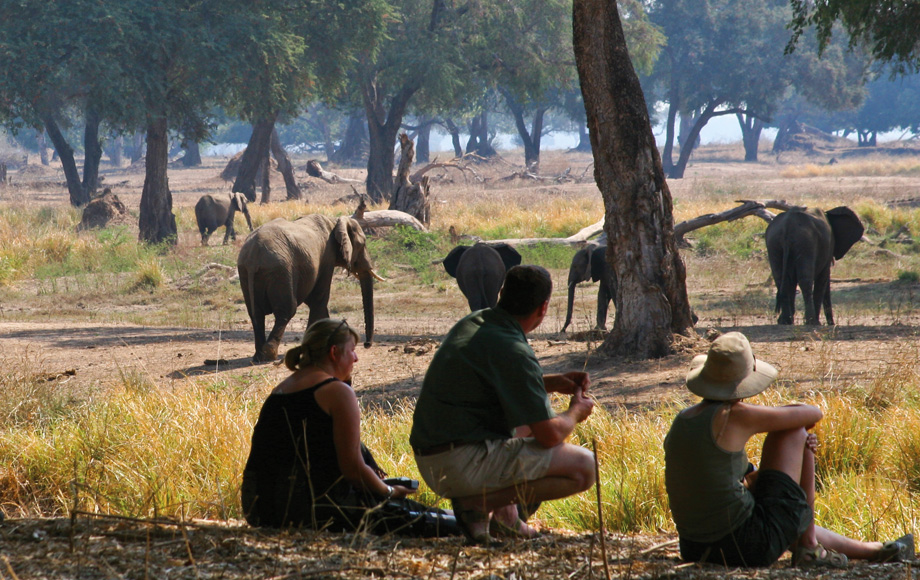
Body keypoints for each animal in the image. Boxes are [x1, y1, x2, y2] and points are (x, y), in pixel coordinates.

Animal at [239, 215, 382, 362]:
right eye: (362, 244)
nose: (366, 344)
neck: (334, 222)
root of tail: (253, 255)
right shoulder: (327, 257)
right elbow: (319, 299)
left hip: (245, 271)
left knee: (256, 313)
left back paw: (258, 357)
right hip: (280, 271)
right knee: (286, 311)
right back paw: (269, 355)